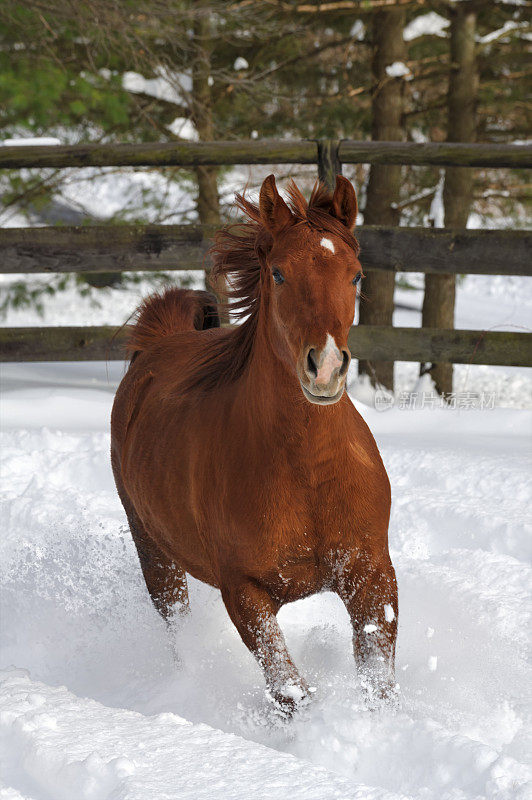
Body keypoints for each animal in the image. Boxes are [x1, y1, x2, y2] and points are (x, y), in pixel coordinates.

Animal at [110, 177, 396, 712]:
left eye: (356, 277)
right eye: (279, 274)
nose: (325, 367)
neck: (310, 472)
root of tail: (158, 345)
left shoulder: (371, 575)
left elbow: (379, 683)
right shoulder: (244, 592)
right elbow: (290, 692)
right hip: (154, 553)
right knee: (176, 622)